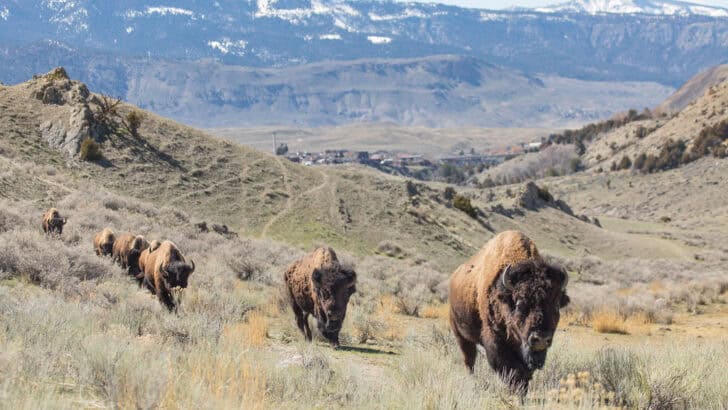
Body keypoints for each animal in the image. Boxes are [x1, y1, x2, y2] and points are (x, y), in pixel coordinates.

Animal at [449, 230, 569, 394]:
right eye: (519, 304)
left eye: (556, 306)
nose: (541, 339)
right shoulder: (495, 340)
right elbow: (510, 369)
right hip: (460, 334)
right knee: (469, 358)